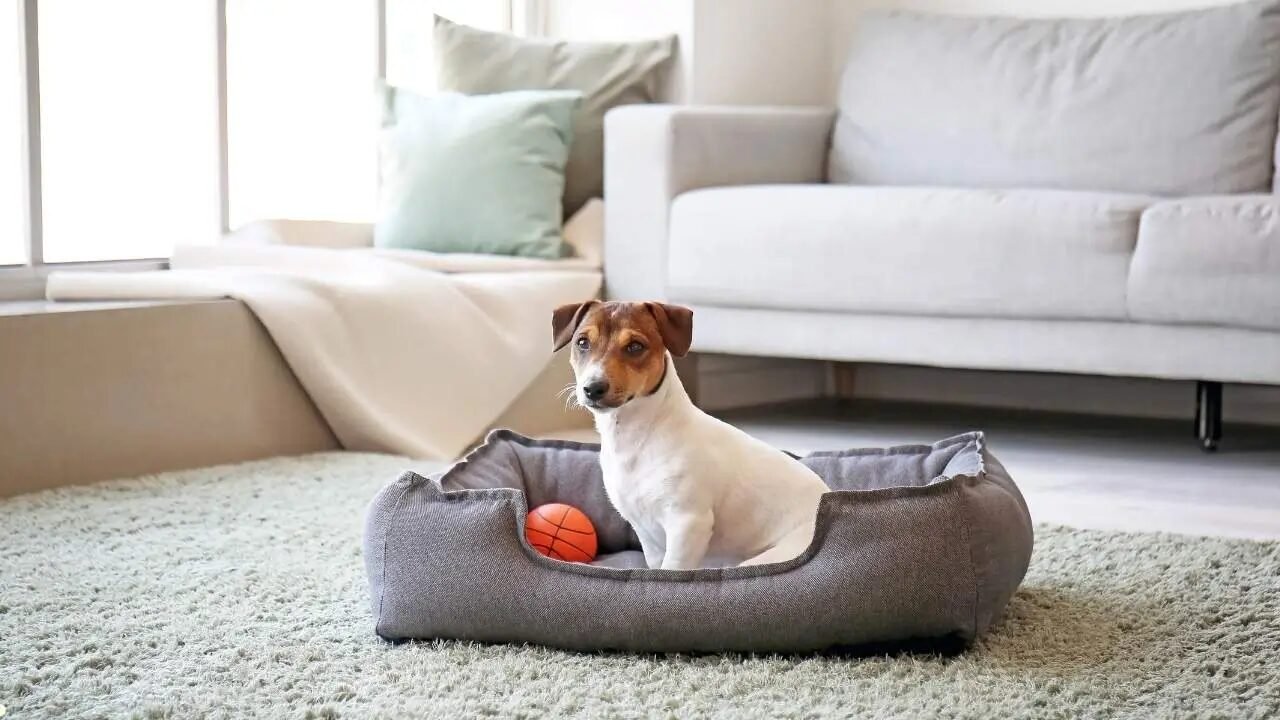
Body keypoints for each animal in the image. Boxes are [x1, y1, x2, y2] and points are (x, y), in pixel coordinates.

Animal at [550, 297, 829, 566]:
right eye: (582, 342)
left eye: (635, 347)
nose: (592, 388)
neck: (637, 437)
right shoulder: (646, 533)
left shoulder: (688, 524)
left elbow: (672, 568)